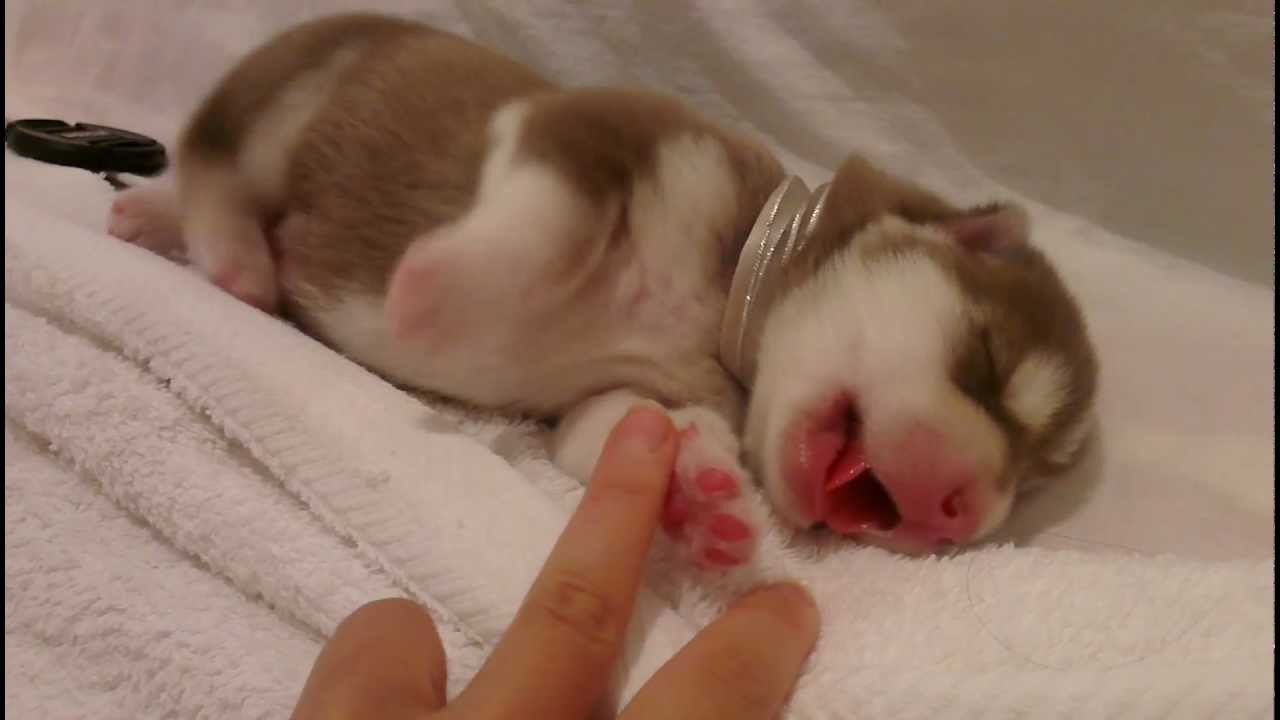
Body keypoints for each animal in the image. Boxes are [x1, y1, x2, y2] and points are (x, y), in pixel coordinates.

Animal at [107, 12, 1100, 566]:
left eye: (1032, 483)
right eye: (985, 362)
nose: (959, 519)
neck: (716, 314)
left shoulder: (608, 394)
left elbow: (620, 428)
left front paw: (698, 493)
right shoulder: (590, 131)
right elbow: (546, 219)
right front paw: (429, 290)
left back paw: (153, 220)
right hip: (296, 88)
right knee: (212, 158)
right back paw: (228, 251)